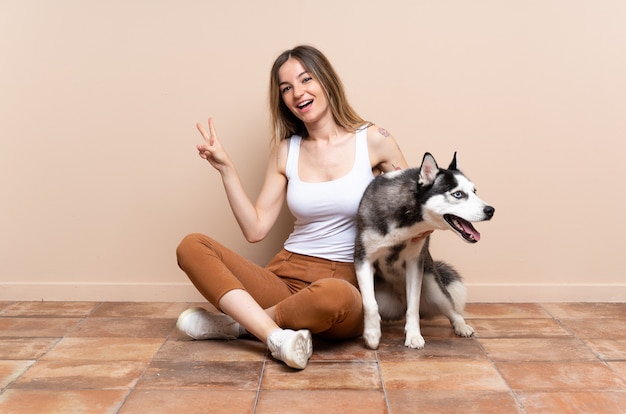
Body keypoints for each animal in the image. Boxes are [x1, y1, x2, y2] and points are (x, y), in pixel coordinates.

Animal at [354, 152, 490, 350]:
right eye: (458, 194)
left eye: (474, 192)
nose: (491, 210)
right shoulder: (363, 259)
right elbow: (370, 303)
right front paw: (372, 334)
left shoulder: (415, 263)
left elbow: (413, 307)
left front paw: (413, 335)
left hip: (434, 286)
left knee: (451, 309)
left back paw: (461, 326)